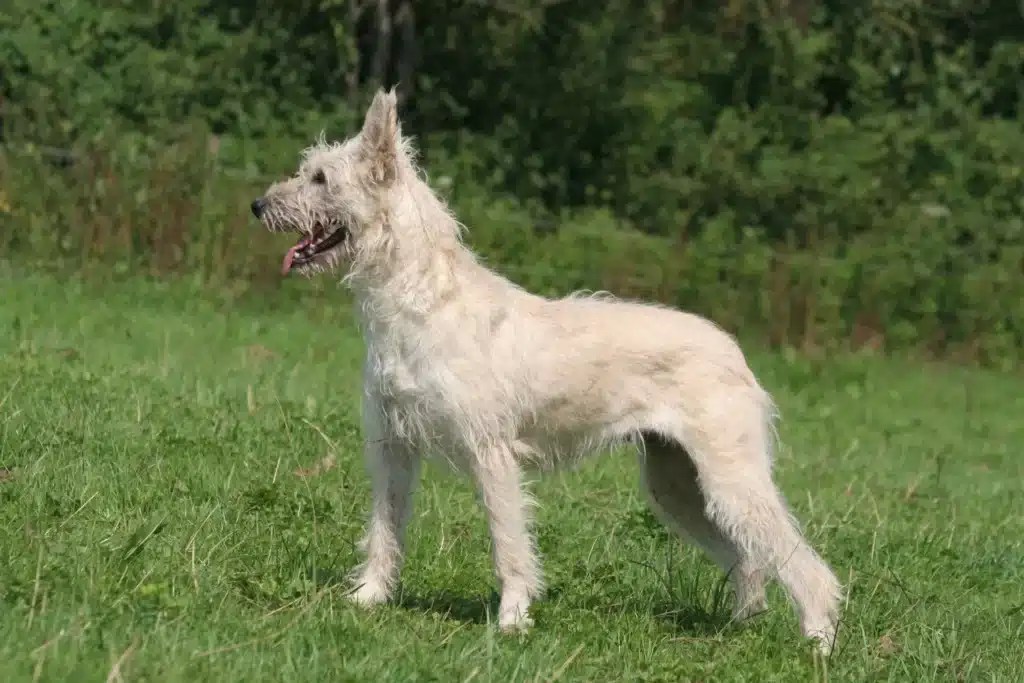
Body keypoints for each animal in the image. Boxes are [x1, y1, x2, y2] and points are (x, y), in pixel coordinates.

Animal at [251, 88, 843, 655]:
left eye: (321, 178)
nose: (257, 205)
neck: (421, 298)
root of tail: (734, 352)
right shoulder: (392, 448)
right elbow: (384, 530)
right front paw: (368, 599)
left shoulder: (491, 455)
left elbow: (509, 545)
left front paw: (512, 622)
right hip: (678, 486)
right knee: (751, 562)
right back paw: (741, 628)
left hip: (730, 480)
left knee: (804, 564)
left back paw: (818, 642)